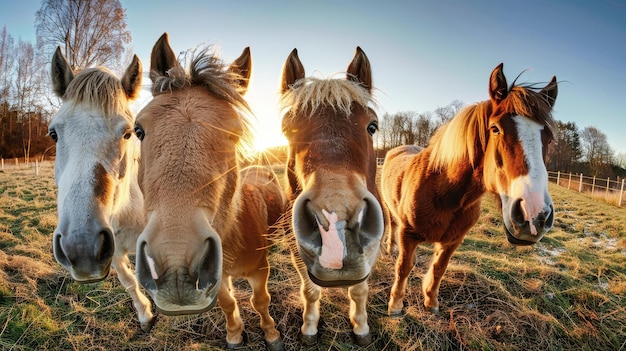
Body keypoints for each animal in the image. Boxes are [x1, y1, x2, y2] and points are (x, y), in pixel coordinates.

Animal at [48, 48, 154, 332]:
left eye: (129, 133)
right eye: (53, 134)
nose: (81, 248)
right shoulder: (113, 251)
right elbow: (129, 281)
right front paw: (145, 315)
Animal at [134, 33, 286, 351]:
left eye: (235, 134)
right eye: (138, 130)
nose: (175, 266)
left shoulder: (260, 269)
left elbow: (261, 300)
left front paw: (272, 334)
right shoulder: (219, 275)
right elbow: (228, 303)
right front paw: (234, 335)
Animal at [280, 47, 382, 346]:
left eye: (372, 126)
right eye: (288, 129)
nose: (337, 224)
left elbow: (359, 290)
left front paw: (361, 328)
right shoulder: (296, 247)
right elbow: (311, 290)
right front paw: (309, 329)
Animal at [380, 63, 556, 316]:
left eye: (549, 138)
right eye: (495, 128)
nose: (535, 216)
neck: (445, 194)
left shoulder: (453, 241)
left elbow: (439, 268)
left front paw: (431, 302)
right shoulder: (408, 235)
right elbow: (403, 267)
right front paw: (395, 306)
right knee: (391, 225)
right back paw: (389, 248)